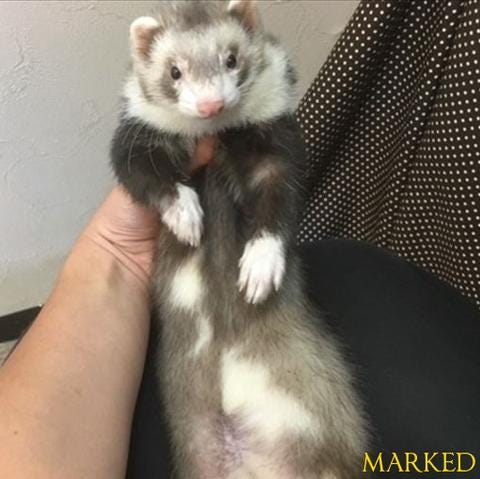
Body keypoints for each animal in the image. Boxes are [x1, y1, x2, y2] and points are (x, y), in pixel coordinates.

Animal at [110, 1, 370, 478]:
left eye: (231, 58)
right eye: (174, 70)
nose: (210, 102)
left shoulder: (278, 149)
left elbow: (278, 204)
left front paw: (260, 265)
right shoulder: (137, 137)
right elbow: (144, 174)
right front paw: (185, 214)